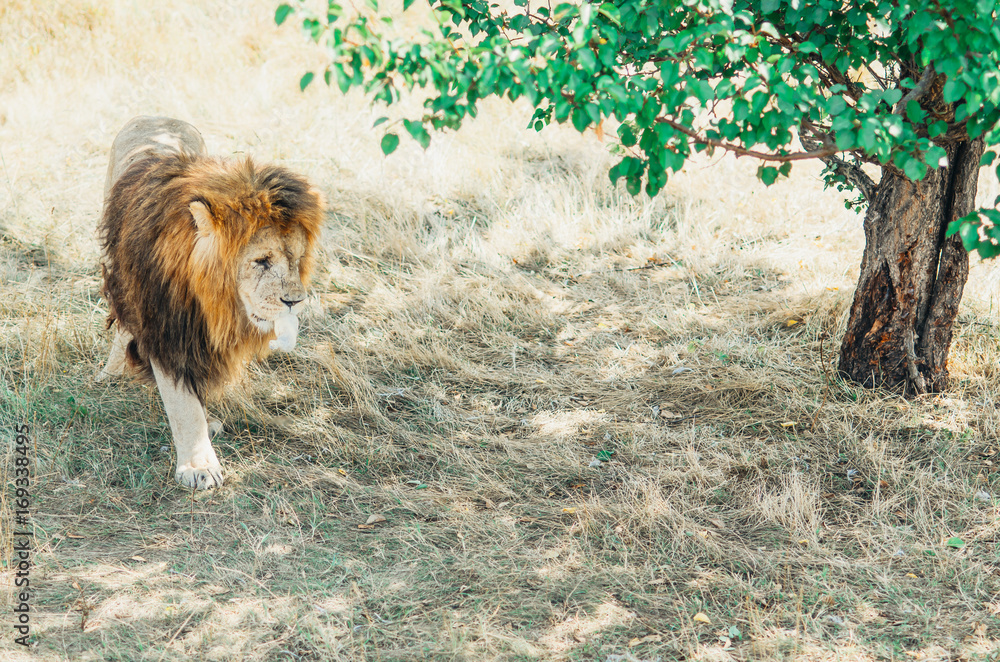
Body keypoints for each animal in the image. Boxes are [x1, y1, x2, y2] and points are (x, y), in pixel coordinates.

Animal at [96, 116, 323, 490]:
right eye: (262, 261)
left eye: (296, 259)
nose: (295, 301)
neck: (208, 300)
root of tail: (155, 116)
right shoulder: (166, 329)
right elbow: (183, 406)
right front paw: (198, 465)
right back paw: (109, 372)